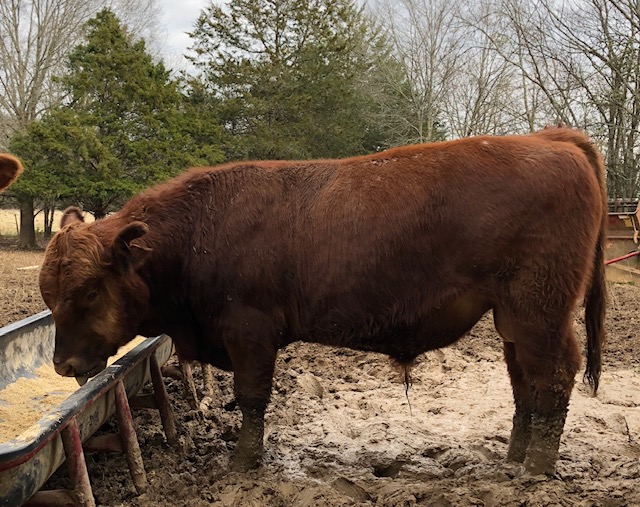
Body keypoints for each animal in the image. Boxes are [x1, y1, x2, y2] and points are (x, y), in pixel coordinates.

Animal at [37, 129, 608, 478]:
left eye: (89, 291)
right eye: (49, 294)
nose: (63, 362)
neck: (199, 231)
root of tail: (548, 138)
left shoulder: (250, 332)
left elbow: (251, 398)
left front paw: (243, 461)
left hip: (539, 312)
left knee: (554, 376)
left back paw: (534, 468)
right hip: (514, 318)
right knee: (524, 382)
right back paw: (514, 457)